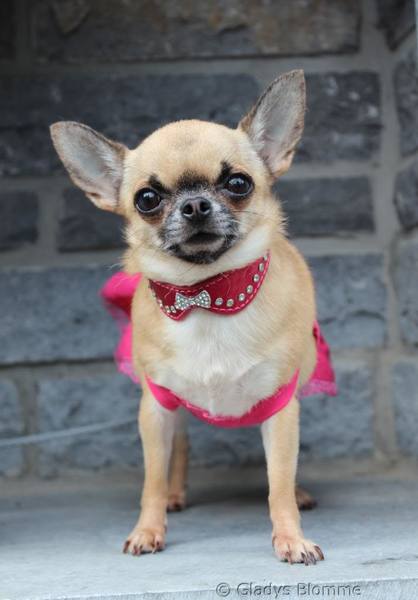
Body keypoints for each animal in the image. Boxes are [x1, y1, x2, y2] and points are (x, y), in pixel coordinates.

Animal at [50, 70, 337, 565]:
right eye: (147, 198)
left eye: (238, 183)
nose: (196, 205)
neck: (208, 296)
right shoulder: (156, 406)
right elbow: (151, 477)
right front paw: (148, 528)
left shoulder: (281, 408)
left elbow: (278, 479)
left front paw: (291, 537)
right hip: (172, 407)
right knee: (179, 448)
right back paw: (174, 494)